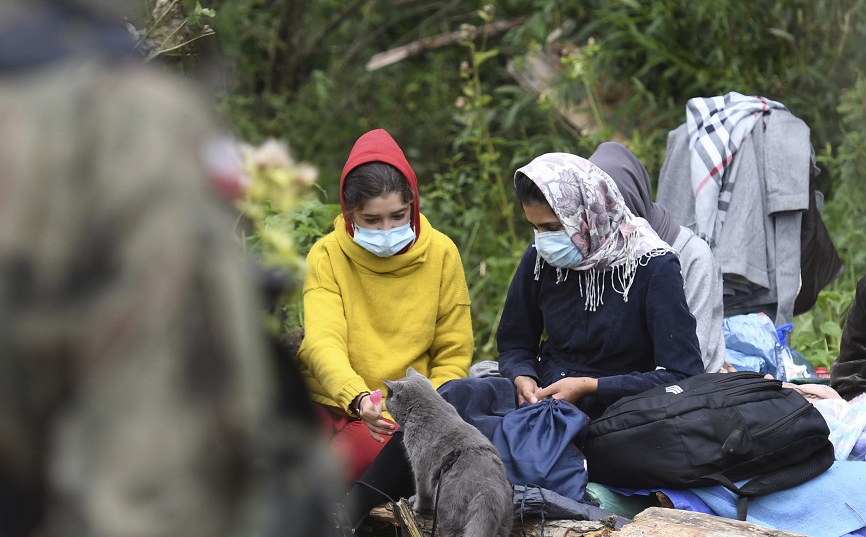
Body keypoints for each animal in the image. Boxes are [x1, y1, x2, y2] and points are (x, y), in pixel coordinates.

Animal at [382, 366, 510, 536]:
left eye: (389, 396)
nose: (384, 401)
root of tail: (489, 490)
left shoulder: (420, 467)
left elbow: (422, 492)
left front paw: (415, 505)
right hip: (503, 523)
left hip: (449, 510)